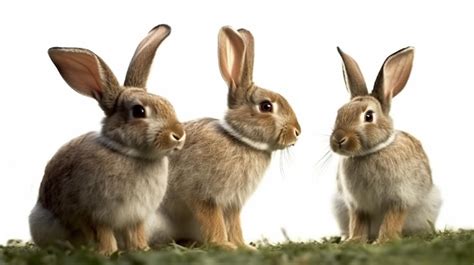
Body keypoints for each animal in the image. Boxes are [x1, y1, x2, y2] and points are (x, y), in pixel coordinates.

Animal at [28, 24, 185, 254]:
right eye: (139, 111)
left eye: (168, 103)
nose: (179, 135)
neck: (127, 152)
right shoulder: (95, 214)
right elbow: (103, 235)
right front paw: (109, 253)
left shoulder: (136, 217)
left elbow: (136, 233)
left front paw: (142, 249)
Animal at [146, 25, 300, 249]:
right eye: (266, 106)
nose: (297, 131)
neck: (240, 140)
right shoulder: (204, 195)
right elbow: (214, 221)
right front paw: (224, 245)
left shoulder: (233, 203)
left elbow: (234, 224)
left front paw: (243, 247)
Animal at [332, 46, 442, 242]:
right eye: (339, 112)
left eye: (369, 116)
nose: (338, 139)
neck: (370, 153)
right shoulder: (357, 204)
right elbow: (358, 222)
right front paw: (354, 241)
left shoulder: (400, 198)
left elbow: (392, 219)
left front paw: (384, 241)